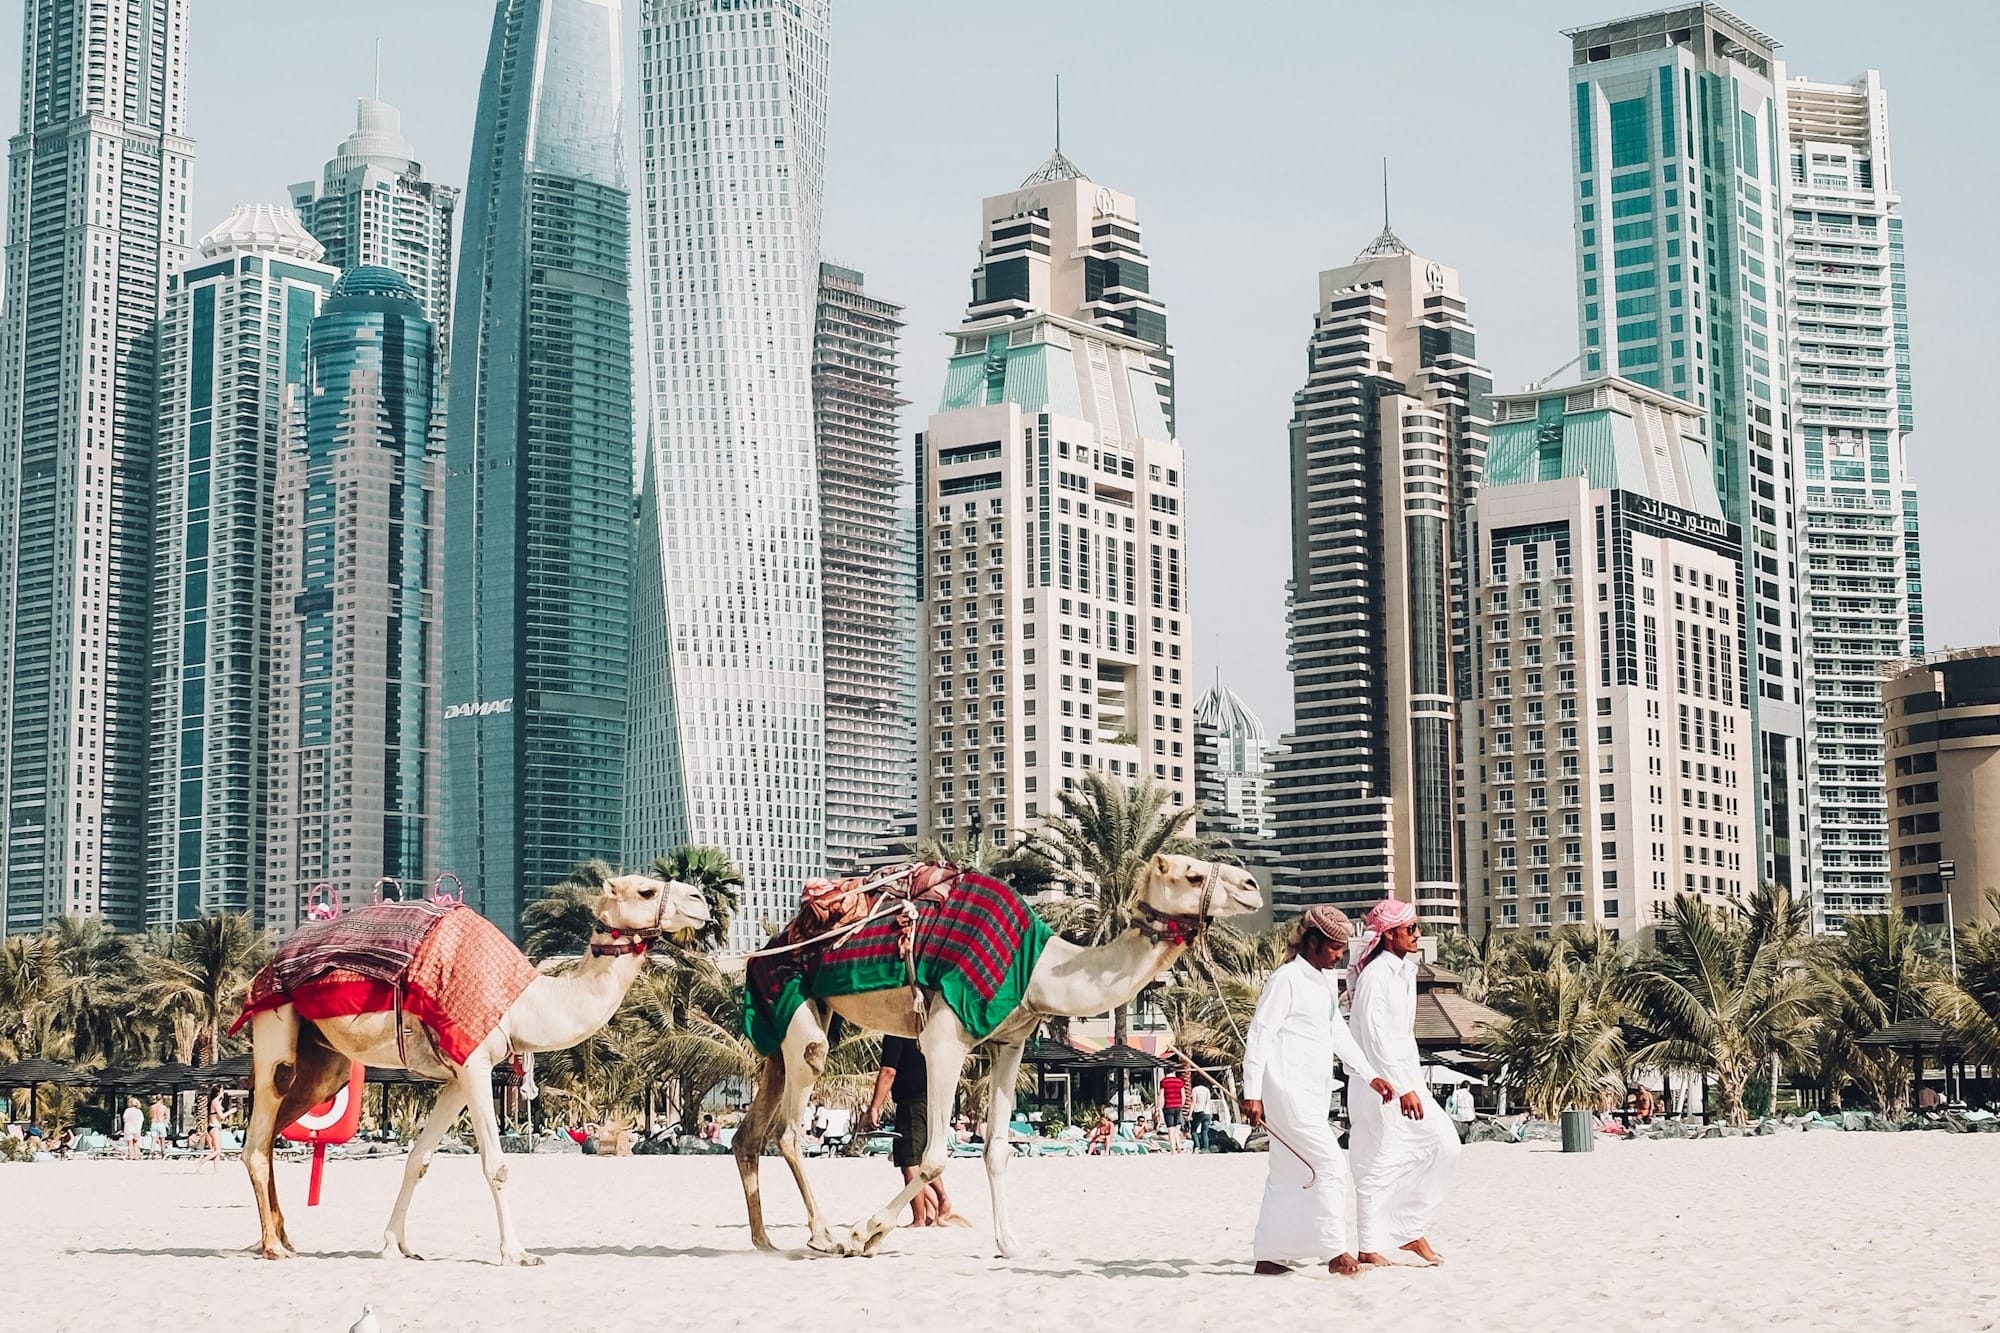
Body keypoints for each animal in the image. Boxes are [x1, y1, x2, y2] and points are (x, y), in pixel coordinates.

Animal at [236, 868, 712, 1264]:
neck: (524, 1003)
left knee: (279, 1130)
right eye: (645, 890)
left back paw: (282, 1237)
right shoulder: (476, 1063)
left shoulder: (457, 1074)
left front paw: (395, 1245)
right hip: (275, 1022)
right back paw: (274, 1246)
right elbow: (496, 1166)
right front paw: (517, 1253)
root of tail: (264, 969)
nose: (700, 900)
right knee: (259, 1135)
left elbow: (419, 1158)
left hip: (325, 1062)